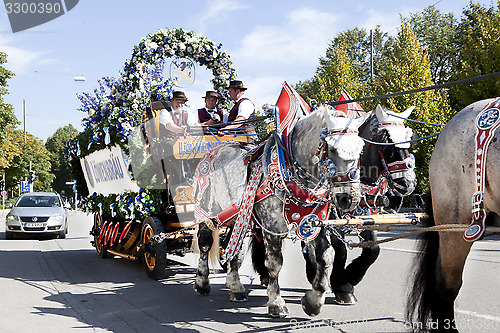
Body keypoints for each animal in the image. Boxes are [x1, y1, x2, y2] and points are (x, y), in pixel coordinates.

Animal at [193, 104, 370, 316]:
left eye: (361, 149)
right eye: (333, 148)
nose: (349, 199)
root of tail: (211, 153)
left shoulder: (313, 223)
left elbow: (326, 257)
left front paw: (313, 302)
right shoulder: (272, 226)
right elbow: (274, 264)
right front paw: (276, 302)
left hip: (240, 218)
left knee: (234, 248)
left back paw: (236, 288)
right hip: (207, 213)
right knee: (205, 244)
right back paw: (202, 283)